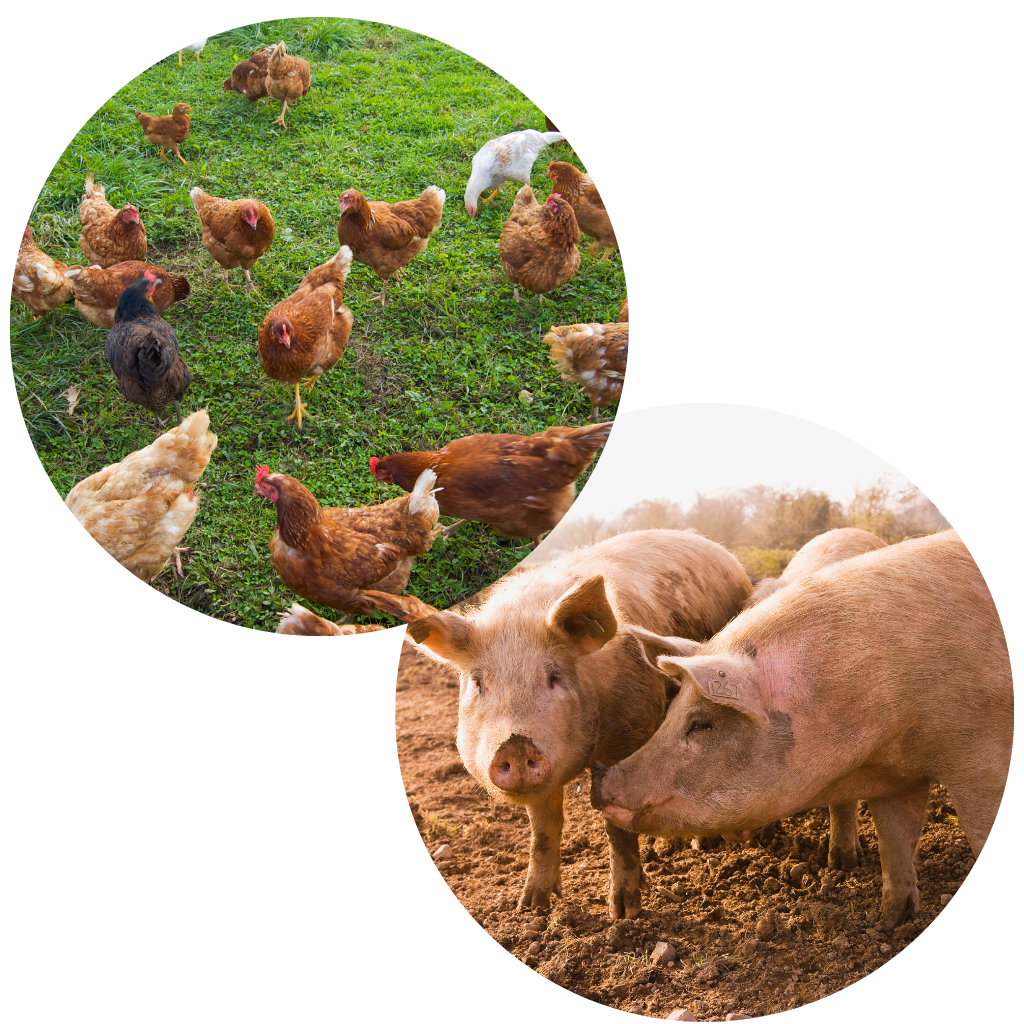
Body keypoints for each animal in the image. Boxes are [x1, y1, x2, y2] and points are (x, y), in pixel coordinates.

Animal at [407, 528, 752, 918]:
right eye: (479, 682)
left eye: (554, 677)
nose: (515, 745)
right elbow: (543, 830)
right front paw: (531, 909)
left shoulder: (628, 737)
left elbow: (616, 828)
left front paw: (624, 913)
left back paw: (699, 846)